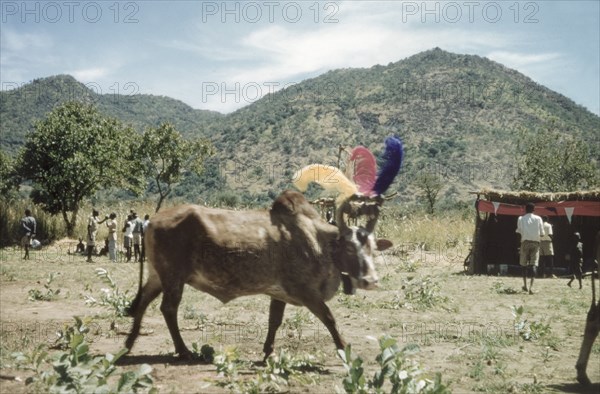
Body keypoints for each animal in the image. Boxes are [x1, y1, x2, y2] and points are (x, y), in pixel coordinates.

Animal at [124, 189, 392, 358]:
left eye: (373, 247)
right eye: (349, 247)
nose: (371, 280)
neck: (319, 241)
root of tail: (152, 221)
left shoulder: (279, 294)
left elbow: (274, 321)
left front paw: (268, 351)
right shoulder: (306, 293)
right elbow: (329, 318)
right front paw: (344, 348)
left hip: (158, 276)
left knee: (143, 301)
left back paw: (129, 342)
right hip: (174, 279)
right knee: (168, 309)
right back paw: (182, 350)